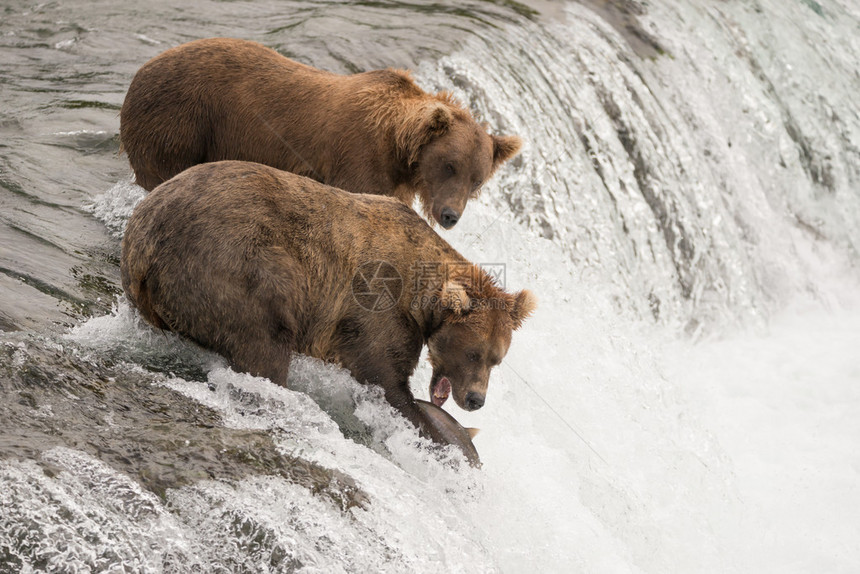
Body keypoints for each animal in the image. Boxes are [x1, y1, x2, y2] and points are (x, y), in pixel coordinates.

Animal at [119, 36, 524, 232]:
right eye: (449, 165)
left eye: (477, 180)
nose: (450, 215)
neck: (398, 150)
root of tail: (140, 71)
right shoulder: (358, 160)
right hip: (181, 120)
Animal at [119, 160, 536, 448]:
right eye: (473, 353)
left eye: (496, 359)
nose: (476, 399)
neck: (420, 293)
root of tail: (143, 243)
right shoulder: (376, 306)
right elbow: (384, 377)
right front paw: (435, 430)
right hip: (236, 265)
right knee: (264, 339)